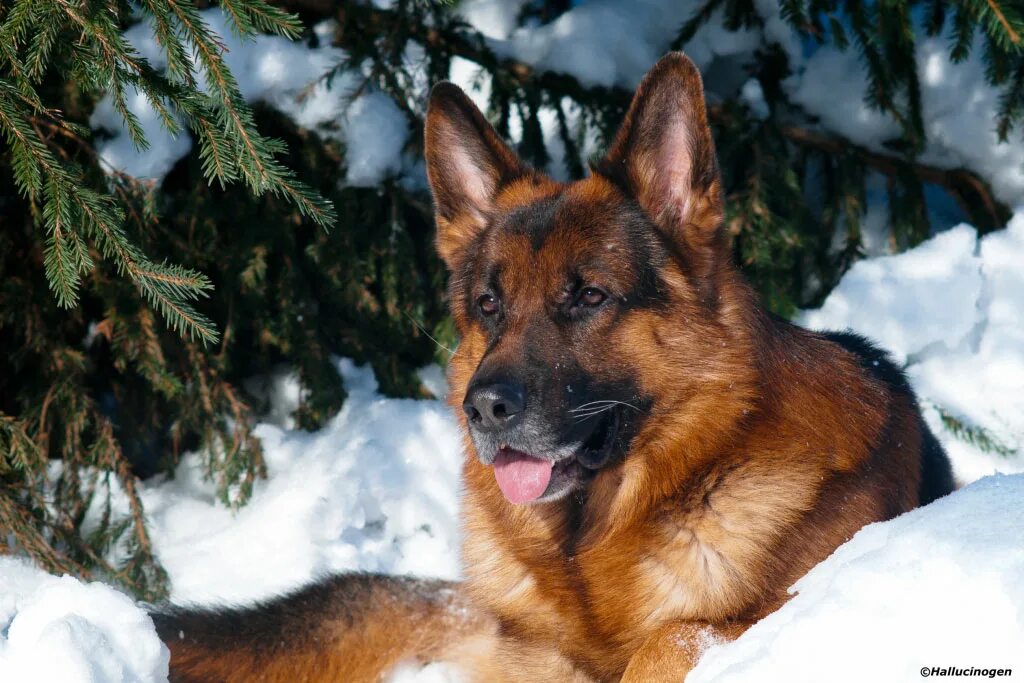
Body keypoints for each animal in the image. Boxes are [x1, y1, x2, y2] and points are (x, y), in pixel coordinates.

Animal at [155, 54, 954, 683]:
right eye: (489, 305)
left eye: (589, 297)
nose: (484, 409)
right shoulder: (536, 654)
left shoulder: (780, 610)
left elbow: (673, 635)